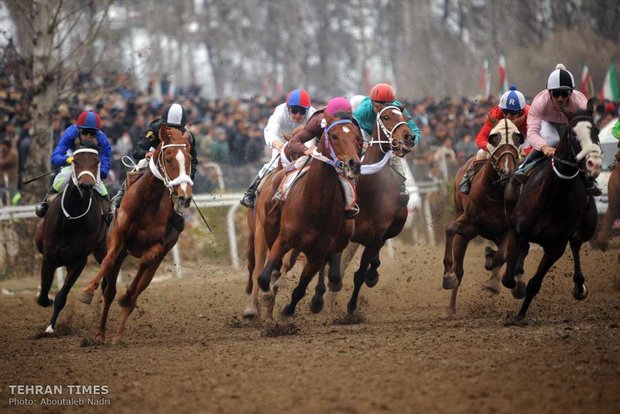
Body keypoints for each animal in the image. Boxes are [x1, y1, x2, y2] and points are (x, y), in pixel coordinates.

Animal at [34, 142, 108, 334]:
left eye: (97, 161)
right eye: (75, 161)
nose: (86, 185)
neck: (71, 221)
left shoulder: (78, 261)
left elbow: (62, 296)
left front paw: (50, 327)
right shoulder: (49, 256)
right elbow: (44, 293)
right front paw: (46, 301)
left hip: (101, 250)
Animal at [78, 125, 194, 342]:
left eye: (190, 158)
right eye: (168, 159)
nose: (184, 196)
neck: (147, 202)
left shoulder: (157, 246)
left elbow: (143, 266)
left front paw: (126, 296)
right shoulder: (119, 238)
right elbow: (108, 261)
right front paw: (87, 291)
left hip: (159, 257)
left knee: (139, 288)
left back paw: (118, 334)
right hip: (122, 253)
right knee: (110, 291)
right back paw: (100, 333)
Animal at [248, 116, 364, 316]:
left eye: (357, 138)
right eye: (334, 136)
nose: (354, 164)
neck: (316, 205)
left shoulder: (318, 252)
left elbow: (300, 287)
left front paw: (288, 308)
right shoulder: (279, 237)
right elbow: (263, 274)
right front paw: (267, 296)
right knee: (258, 267)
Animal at [440, 116, 524, 314]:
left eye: (517, 139)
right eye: (494, 138)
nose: (507, 170)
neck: (495, 193)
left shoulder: (507, 229)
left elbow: (502, 255)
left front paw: (492, 276)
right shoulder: (468, 223)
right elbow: (450, 229)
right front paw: (448, 277)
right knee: (460, 269)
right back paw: (451, 308)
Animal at [502, 101, 604, 324]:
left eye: (596, 131)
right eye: (572, 133)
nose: (594, 164)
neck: (552, 196)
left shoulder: (556, 247)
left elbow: (535, 284)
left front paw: (520, 315)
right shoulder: (516, 231)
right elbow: (508, 279)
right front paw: (517, 285)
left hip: (588, 225)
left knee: (576, 242)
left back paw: (579, 286)